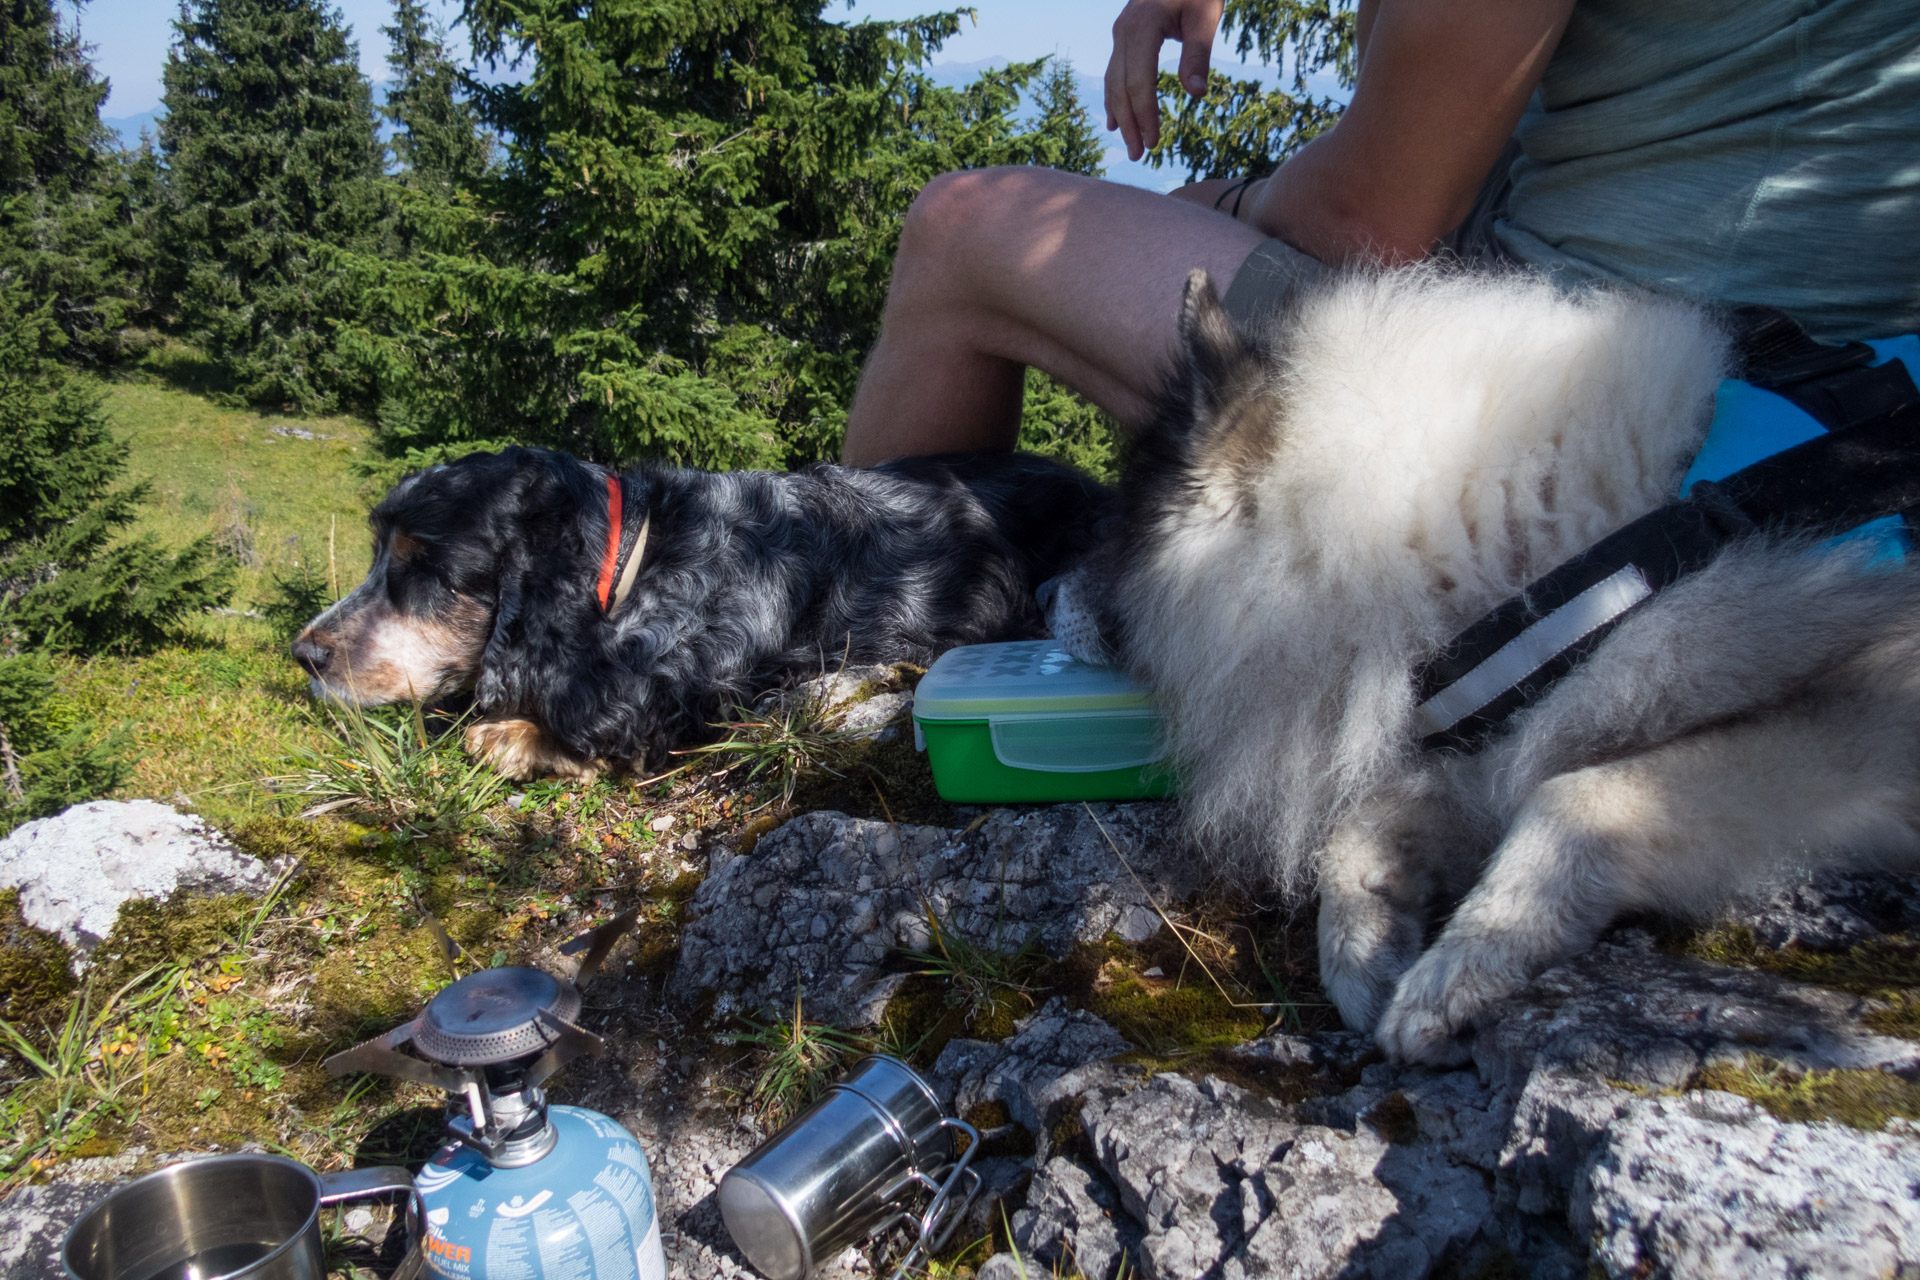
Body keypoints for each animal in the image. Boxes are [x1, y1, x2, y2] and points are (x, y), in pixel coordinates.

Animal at [297, 445, 1113, 775]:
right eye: (376, 553)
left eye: (427, 570)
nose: (304, 654)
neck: (637, 556)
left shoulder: (709, 684)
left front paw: (514, 735)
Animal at [1052, 264, 1920, 1066]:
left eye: (1115, 528)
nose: (1045, 587)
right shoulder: (1500, 735)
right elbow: (1364, 828)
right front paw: (1368, 948)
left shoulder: (1861, 719)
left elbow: (1575, 798)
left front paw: (1461, 968)